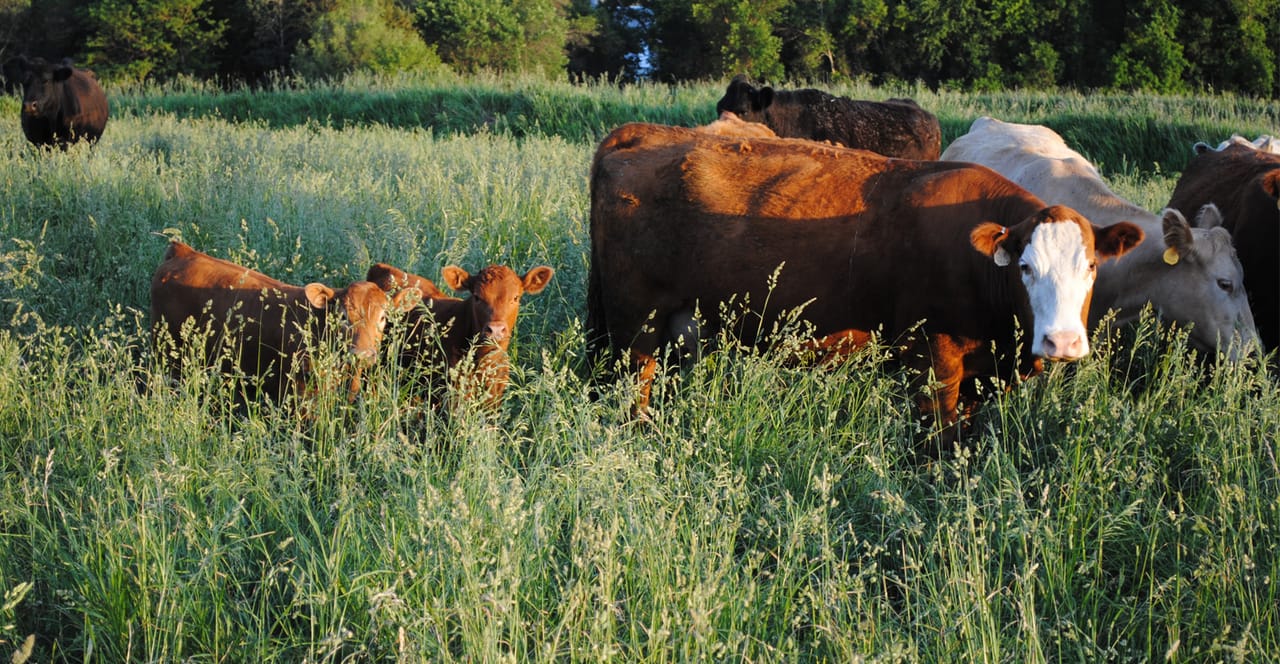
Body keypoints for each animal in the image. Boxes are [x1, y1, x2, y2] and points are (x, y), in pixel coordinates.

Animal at [588, 122, 1143, 444]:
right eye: (1025, 267)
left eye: (1091, 267)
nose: (1062, 342)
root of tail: (639, 132)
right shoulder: (933, 357)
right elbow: (938, 439)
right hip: (635, 328)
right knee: (634, 390)